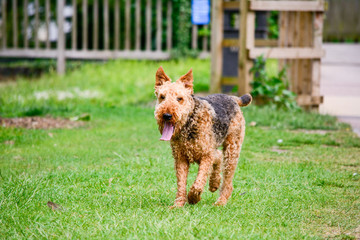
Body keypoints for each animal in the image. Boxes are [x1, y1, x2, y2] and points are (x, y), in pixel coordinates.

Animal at [153, 66, 252, 207]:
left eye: (179, 98)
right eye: (162, 97)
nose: (166, 115)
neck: (188, 124)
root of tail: (232, 98)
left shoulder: (206, 156)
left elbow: (198, 182)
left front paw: (193, 198)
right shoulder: (180, 158)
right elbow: (181, 184)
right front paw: (178, 204)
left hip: (232, 148)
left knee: (228, 181)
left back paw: (220, 201)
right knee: (219, 157)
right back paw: (214, 184)